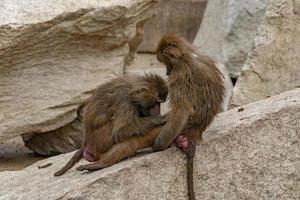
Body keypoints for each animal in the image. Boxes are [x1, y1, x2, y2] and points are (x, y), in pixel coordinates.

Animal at [75, 34, 225, 200]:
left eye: (166, 62)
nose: (167, 73)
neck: (188, 54)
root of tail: (197, 134)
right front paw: (159, 118)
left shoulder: (180, 72)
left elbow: (183, 109)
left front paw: (159, 144)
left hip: (171, 131)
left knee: (130, 142)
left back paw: (99, 164)